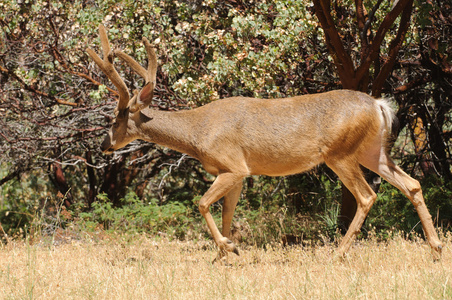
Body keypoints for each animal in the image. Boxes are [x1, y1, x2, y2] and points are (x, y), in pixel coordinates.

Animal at [87, 25, 442, 262]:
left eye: (116, 118)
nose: (104, 145)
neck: (197, 132)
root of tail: (379, 105)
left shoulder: (234, 166)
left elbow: (201, 204)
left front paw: (227, 248)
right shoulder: (237, 173)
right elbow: (227, 214)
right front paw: (225, 254)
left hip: (340, 153)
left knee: (367, 196)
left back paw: (338, 253)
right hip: (372, 151)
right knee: (411, 183)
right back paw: (436, 247)